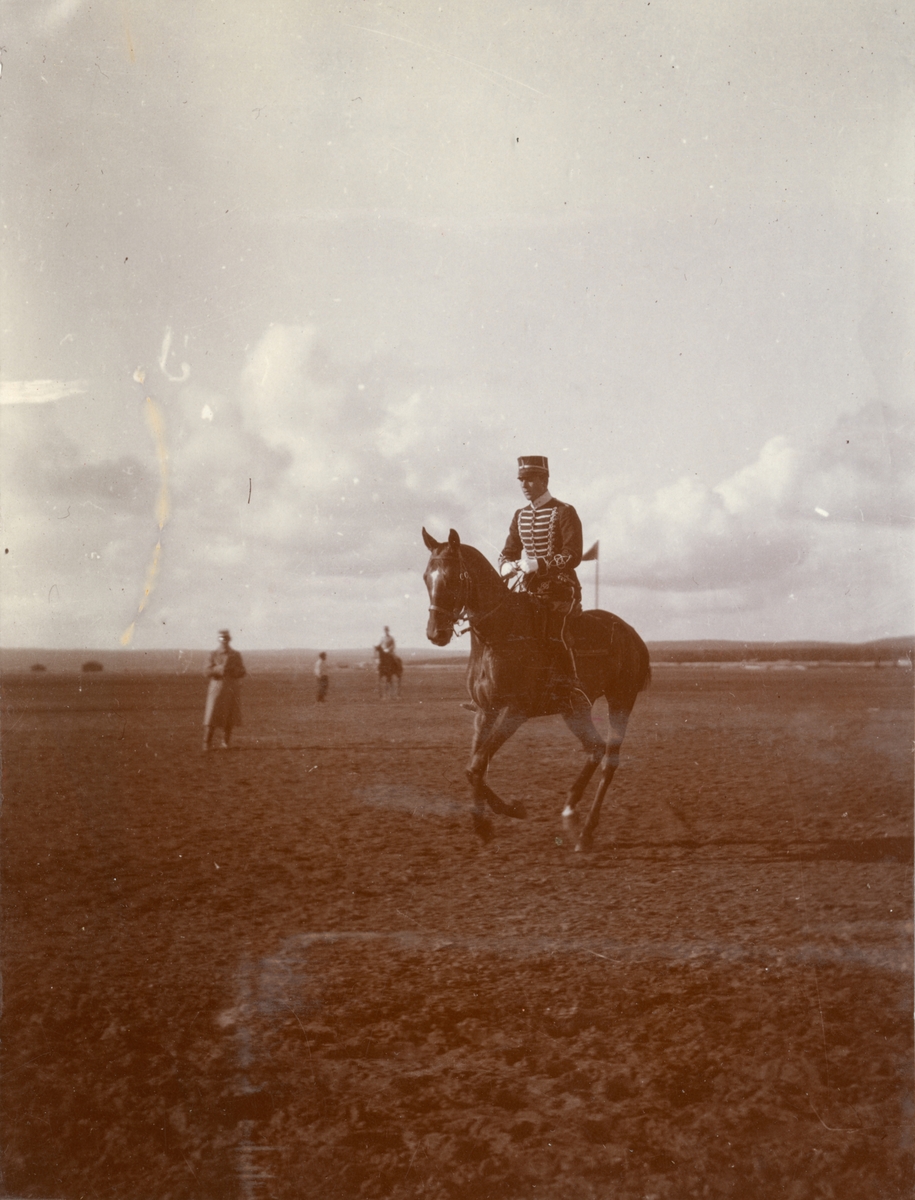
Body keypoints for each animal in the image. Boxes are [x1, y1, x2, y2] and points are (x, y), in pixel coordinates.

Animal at [422, 527, 650, 850]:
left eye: (454, 577)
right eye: (426, 577)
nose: (435, 633)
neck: (499, 633)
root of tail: (633, 635)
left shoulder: (515, 712)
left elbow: (477, 766)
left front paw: (507, 812)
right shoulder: (485, 711)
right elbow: (474, 766)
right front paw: (487, 822)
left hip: (621, 700)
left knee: (609, 760)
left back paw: (586, 832)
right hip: (575, 709)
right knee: (594, 748)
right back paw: (570, 807)